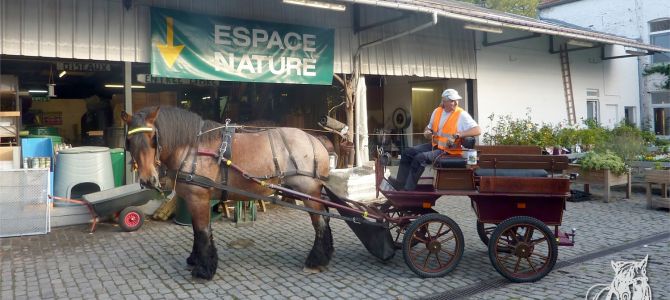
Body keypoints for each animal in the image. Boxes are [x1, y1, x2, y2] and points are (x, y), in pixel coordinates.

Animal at [122, 105, 334, 278]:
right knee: (325, 219)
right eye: (130, 140)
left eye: (153, 138)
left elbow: (202, 231)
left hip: (309, 193)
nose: (148, 180)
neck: (193, 149)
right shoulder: (194, 199)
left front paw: (204, 269)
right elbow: (197, 231)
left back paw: (315, 261)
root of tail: (315, 139)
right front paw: (195, 260)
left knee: (320, 223)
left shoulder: (198, 197)